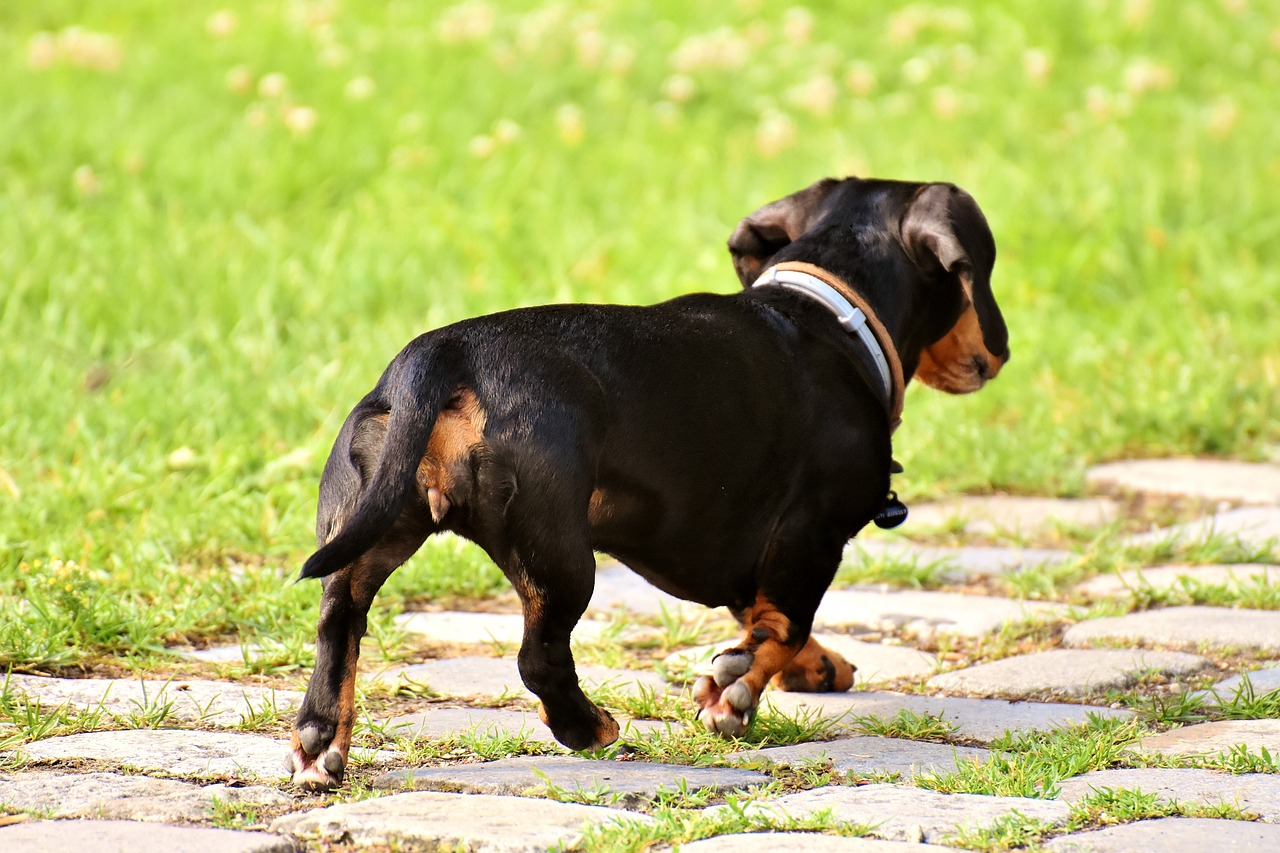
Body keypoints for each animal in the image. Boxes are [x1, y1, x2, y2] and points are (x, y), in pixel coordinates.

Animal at [282, 175, 1008, 788]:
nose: (994, 357)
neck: (827, 315)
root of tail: (442, 353)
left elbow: (761, 615)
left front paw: (811, 665)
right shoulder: (812, 532)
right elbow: (784, 623)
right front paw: (734, 696)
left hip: (371, 522)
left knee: (338, 619)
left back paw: (320, 742)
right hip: (559, 555)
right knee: (539, 657)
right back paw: (590, 727)